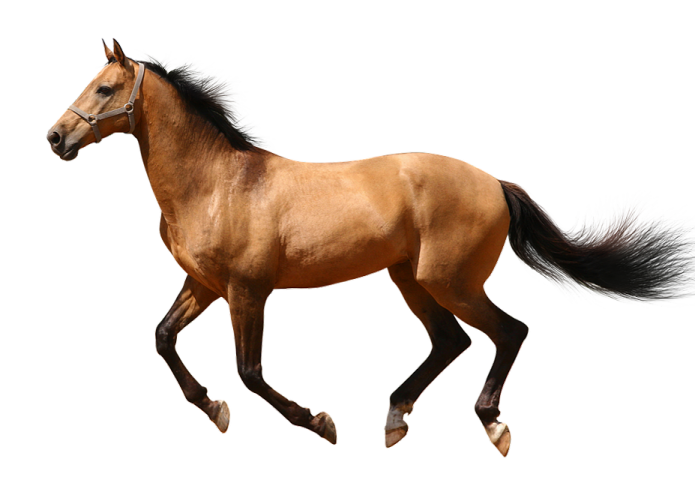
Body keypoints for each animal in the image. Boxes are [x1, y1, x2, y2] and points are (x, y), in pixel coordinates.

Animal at [46, 38, 695, 457]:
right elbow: (163, 338)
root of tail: (494, 183)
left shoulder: (246, 290)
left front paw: (321, 424)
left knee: (509, 331)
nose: (56, 137)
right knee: (451, 342)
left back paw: (493, 427)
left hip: (448, 280)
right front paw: (215, 410)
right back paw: (395, 420)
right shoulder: (203, 285)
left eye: (106, 87)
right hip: (409, 278)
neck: (217, 184)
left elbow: (250, 371)